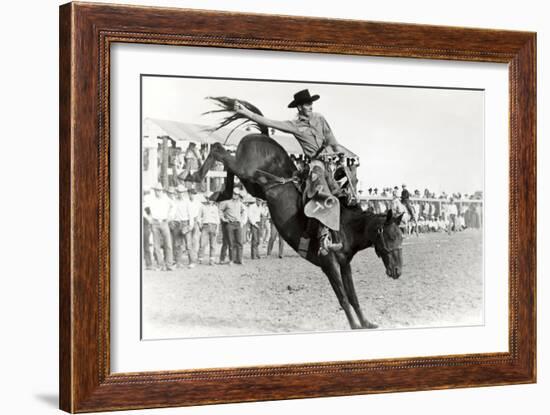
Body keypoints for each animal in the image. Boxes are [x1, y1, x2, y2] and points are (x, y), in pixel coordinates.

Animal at [185, 96, 406, 328]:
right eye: (390, 237)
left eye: (401, 237)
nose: (398, 271)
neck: (345, 226)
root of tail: (262, 135)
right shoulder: (329, 264)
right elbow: (343, 298)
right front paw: (355, 325)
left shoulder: (345, 264)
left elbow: (353, 296)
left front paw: (366, 323)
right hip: (246, 170)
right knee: (219, 149)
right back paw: (193, 176)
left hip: (252, 183)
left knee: (227, 166)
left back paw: (219, 193)